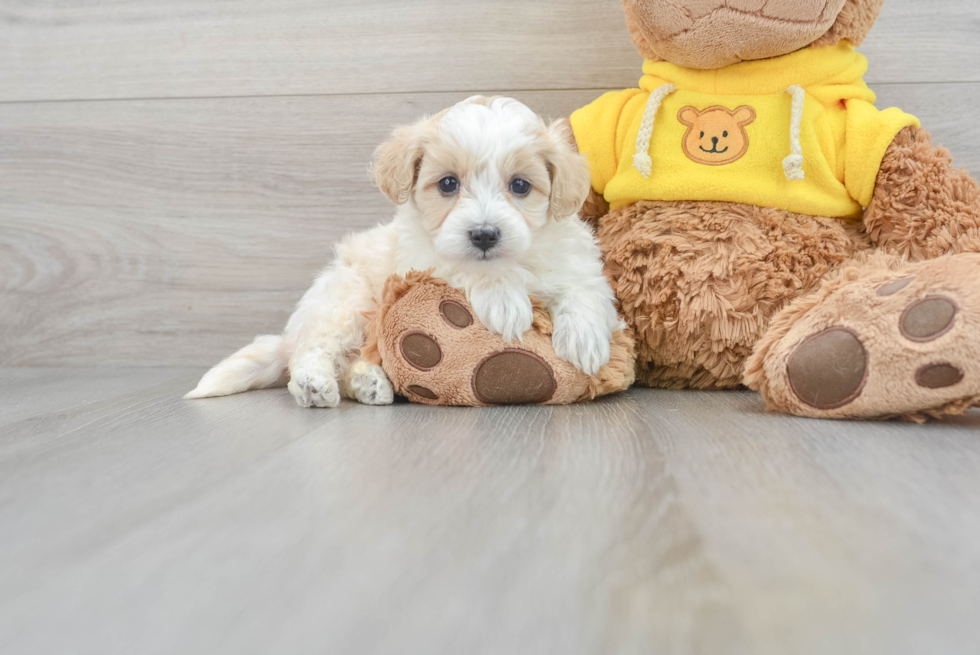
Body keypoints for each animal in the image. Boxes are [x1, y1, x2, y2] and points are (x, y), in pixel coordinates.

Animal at [186, 96, 620, 410]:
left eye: (520, 185)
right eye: (448, 184)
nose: (484, 235)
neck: (514, 260)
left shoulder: (571, 254)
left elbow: (585, 285)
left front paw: (585, 337)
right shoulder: (424, 259)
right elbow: (465, 268)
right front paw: (504, 299)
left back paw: (369, 382)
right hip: (346, 300)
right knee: (317, 349)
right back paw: (314, 384)